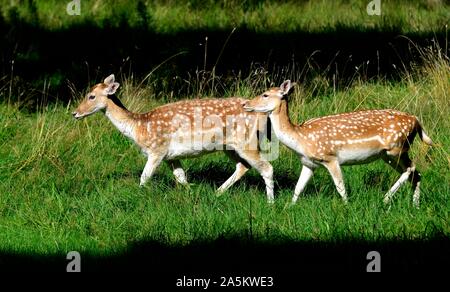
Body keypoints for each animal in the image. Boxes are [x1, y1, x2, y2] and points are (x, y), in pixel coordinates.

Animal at [73, 74, 274, 203]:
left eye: (91, 96)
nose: (75, 113)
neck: (139, 127)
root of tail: (265, 116)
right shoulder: (171, 156)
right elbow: (180, 177)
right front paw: (191, 194)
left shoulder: (157, 150)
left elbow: (144, 177)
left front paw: (138, 196)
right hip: (229, 146)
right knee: (243, 166)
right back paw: (217, 192)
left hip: (247, 141)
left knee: (267, 167)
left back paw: (270, 202)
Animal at [244, 80, 434, 208]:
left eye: (265, 94)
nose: (246, 104)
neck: (301, 139)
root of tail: (417, 121)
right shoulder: (309, 163)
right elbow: (298, 188)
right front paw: (288, 207)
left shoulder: (330, 157)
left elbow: (340, 186)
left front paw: (347, 207)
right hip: (387, 155)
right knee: (416, 173)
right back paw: (415, 205)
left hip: (397, 147)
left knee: (411, 169)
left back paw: (386, 198)